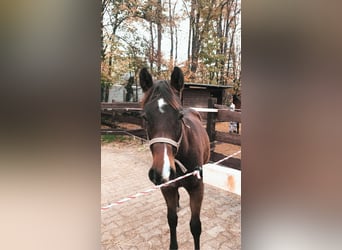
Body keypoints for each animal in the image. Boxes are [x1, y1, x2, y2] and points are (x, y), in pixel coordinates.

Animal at [140, 66, 211, 250]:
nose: (162, 172)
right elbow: (172, 220)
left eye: (179, 116)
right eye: (145, 117)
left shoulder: (197, 189)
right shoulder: (167, 188)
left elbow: (195, 226)